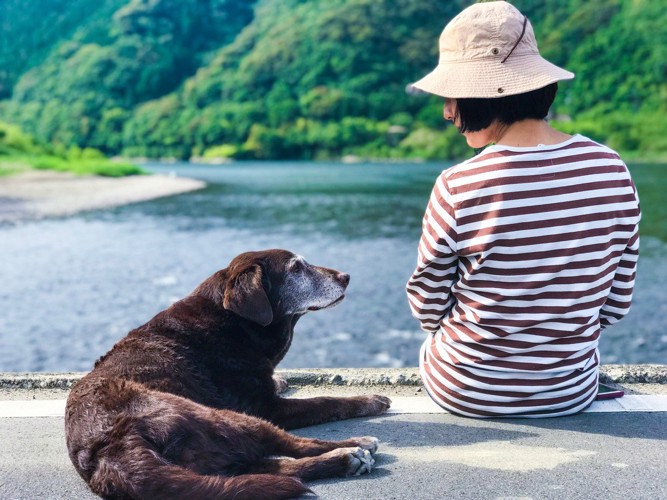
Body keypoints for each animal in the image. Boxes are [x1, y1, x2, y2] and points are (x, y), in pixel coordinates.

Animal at [64, 252, 392, 498]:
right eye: (297, 267)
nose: (346, 276)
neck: (233, 320)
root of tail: (112, 450)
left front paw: (281, 380)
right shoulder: (266, 407)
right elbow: (327, 401)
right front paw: (370, 400)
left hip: (215, 462)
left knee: (274, 468)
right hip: (232, 418)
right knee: (297, 446)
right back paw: (353, 448)